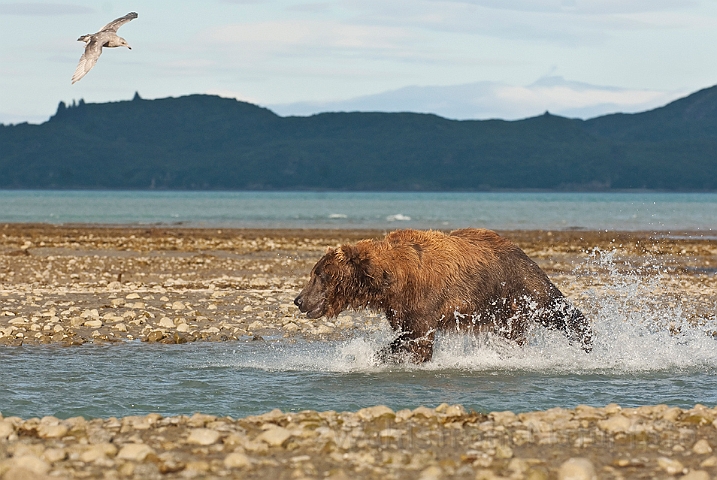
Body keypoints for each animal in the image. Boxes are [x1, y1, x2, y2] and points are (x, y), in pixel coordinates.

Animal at [294, 228, 592, 360]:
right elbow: (406, 334)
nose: (298, 300)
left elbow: (417, 338)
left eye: (318, 274)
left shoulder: (423, 300)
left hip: (518, 283)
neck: (390, 279)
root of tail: (519, 249)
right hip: (503, 308)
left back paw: (586, 342)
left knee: (556, 309)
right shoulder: (398, 306)